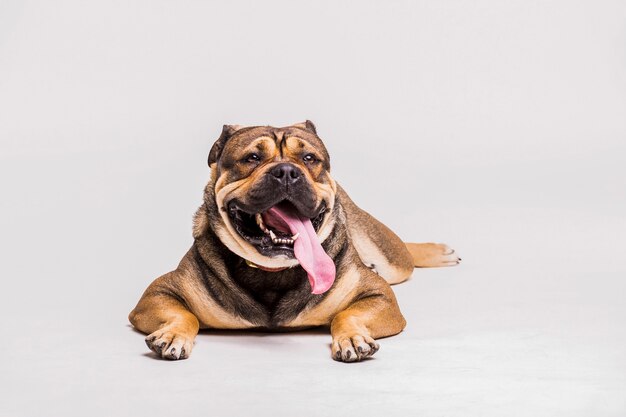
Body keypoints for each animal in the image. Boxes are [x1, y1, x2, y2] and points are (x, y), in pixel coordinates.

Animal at [128, 121, 458, 360]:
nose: (287, 171)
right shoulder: (157, 294)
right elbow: (183, 313)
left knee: (404, 256)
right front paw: (172, 335)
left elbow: (348, 313)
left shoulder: (381, 297)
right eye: (252, 158)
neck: (273, 272)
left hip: (390, 259)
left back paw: (438, 251)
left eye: (309, 158)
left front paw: (352, 337)